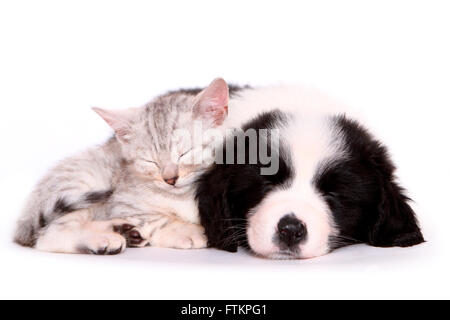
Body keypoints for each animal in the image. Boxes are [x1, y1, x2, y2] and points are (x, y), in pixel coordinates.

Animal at [14, 78, 232, 255]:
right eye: (150, 161)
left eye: (184, 153)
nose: (170, 179)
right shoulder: (121, 201)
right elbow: (154, 219)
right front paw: (184, 230)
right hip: (83, 184)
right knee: (48, 236)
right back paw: (103, 240)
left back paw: (123, 230)